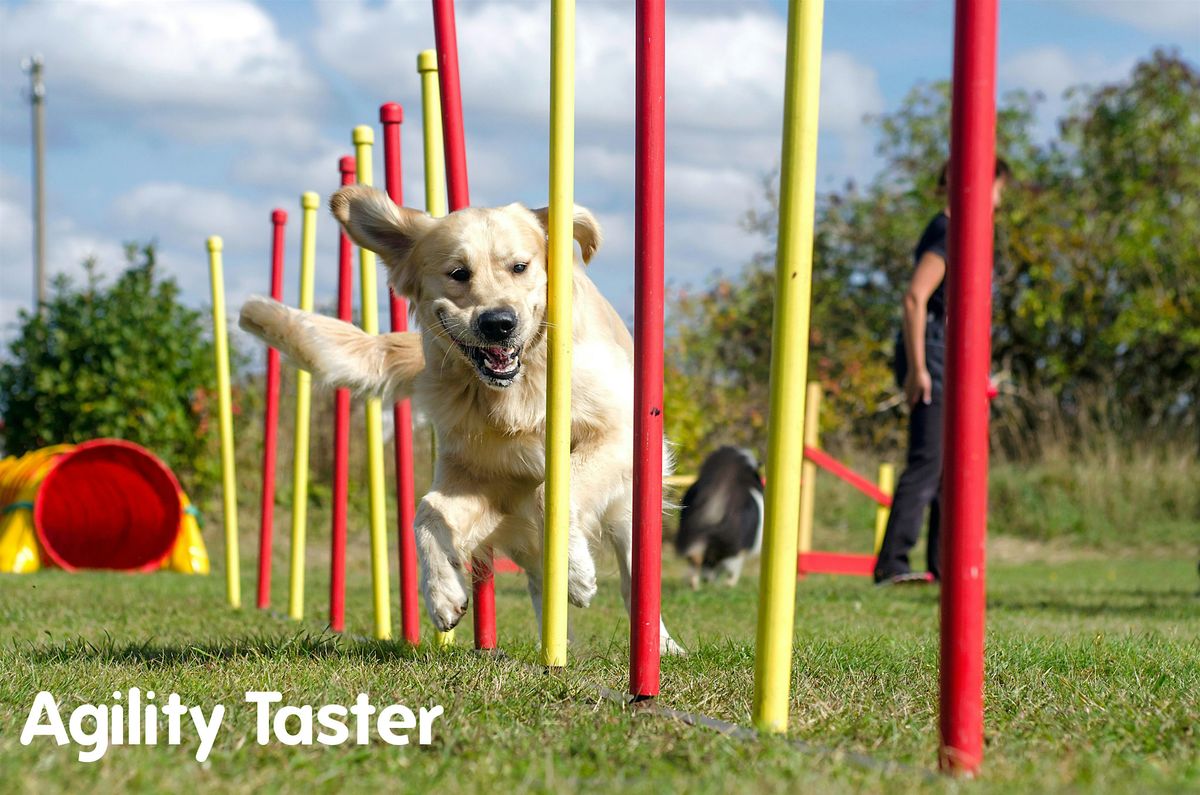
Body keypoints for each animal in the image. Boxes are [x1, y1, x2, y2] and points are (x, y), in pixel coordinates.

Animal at [238, 187, 681, 653]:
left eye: (519, 267)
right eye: (458, 273)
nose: (498, 324)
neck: (516, 392)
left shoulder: (620, 436)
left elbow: (552, 493)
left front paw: (576, 573)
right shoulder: (480, 477)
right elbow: (426, 513)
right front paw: (443, 595)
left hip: (630, 508)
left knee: (633, 576)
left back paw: (660, 646)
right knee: (537, 576)